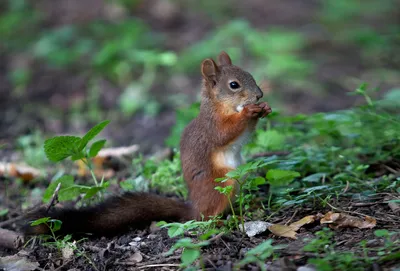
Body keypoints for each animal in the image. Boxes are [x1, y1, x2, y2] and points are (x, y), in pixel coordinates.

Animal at [22, 52, 272, 237]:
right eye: (234, 85)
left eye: (250, 75)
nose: (259, 95)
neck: (221, 107)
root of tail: (193, 206)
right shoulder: (213, 127)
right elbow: (225, 133)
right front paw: (249, 112)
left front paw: (264, 109)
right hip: (221, 184)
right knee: (206, 217)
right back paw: (221, 222)